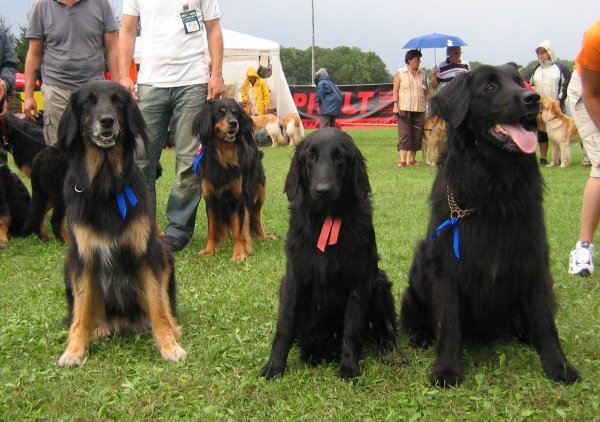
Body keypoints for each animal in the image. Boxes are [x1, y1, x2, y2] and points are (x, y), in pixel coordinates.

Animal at [56, 81, 184, 366]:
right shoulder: (83, 259)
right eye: (88, 101)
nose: (107, 121)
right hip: (68, 265)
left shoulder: (147, 253)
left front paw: (169, 344)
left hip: (166, 256)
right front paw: (74, 350)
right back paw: (99, 328)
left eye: (118, 102)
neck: (105, 185)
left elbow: (159, 308)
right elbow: (81, 312)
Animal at [193, 99, 276, 260]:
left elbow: (239, 229)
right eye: (220, 112)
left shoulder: (238, 198)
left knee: (256, 217)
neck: (223, 154)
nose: (233, 123)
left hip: (259, 192)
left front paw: (238, 253)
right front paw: (209, 251)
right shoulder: (210, 199)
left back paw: (264, 236)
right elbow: (212, 229)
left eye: (235, 112)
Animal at [260, 128, 396, 380]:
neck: (326, 218)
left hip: (379, 282)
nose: (323, 190)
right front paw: (274, 365)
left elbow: (352, 328)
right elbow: (284, 324)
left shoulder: (360, 281)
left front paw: (349, 367)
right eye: (310, 157)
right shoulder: (294, 277)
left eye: (340, 157)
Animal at [400, 65, 580, 386]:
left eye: (519, 82)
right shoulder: (446, 268)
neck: (493, 188)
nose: (533, 99)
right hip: (419, 265)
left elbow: (545, 322)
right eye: (490, 88)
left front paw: (558, 365)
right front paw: (446, 369)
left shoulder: (534, 262)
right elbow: (449, 323)